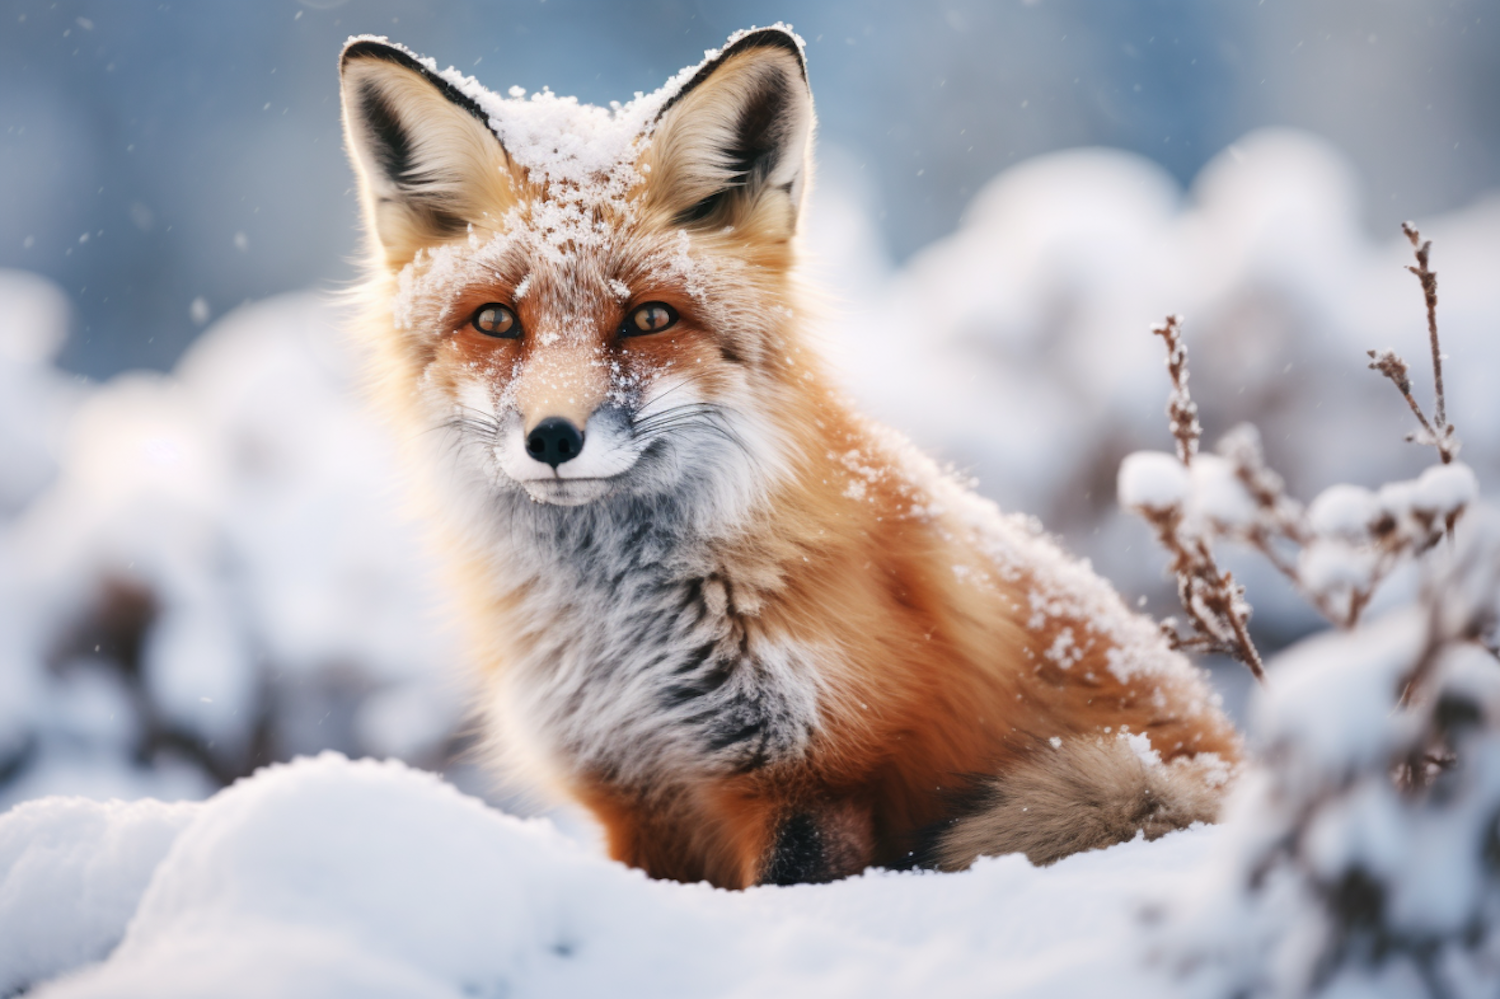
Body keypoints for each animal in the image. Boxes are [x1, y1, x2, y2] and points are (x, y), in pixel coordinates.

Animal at [337, 26, 1243, 889]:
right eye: (495, 321)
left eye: (648, 318)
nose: (553, 438)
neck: (623, 635)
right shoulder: (634, 796)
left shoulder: (815, 777)